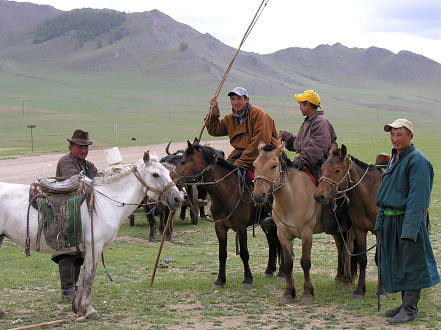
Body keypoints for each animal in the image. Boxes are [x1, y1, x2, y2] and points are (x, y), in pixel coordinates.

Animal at [0, 151, 182, 320]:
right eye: (155, 174)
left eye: (168, 172)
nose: (177, 198)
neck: (106, 202)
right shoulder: (95, 244)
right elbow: (90, 275)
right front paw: (88, 309)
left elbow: (84, 274)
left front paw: (78, 307)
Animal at [174, 139, 284, 288]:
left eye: (184, 161)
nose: (172, 178)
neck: (227, 192)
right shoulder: (220, 227)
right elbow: (222, 254)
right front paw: (220, 280)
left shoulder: (241, 228)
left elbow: (244, 253)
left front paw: (247, 279)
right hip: (265, 222)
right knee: (272, 241)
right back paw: (269, 269)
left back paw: (282, 273)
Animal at [312, 144, 384, 300]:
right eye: (322, 168)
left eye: (337, 170)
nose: (319, 196)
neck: (368, 195)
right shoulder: (359, 229)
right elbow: (362, 259)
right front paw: (359, 290)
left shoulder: (379, 232)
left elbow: (379, 258)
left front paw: (381, 291)